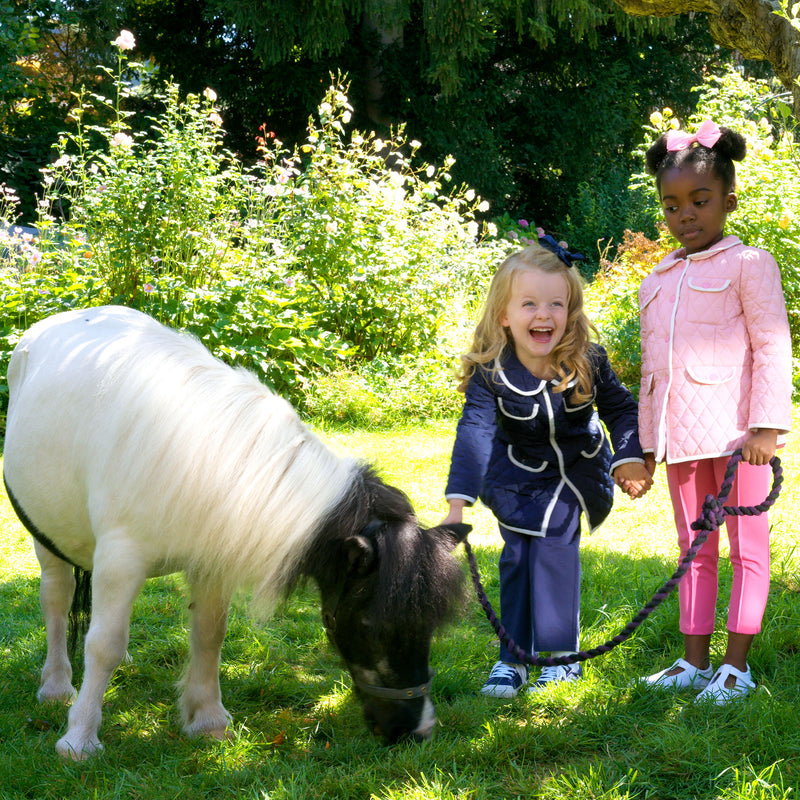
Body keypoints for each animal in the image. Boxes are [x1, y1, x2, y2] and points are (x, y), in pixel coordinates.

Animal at [4, 304, 468, 756]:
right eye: (371, 625)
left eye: (429, 627)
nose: (417, 730)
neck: (200, 456)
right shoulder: (120, 560)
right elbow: (103, 646)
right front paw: (79, 738)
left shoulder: (212, 564)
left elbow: (209, 635)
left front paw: (208, 720)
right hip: (48, 540)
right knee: (57, 600)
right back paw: (57, 686)